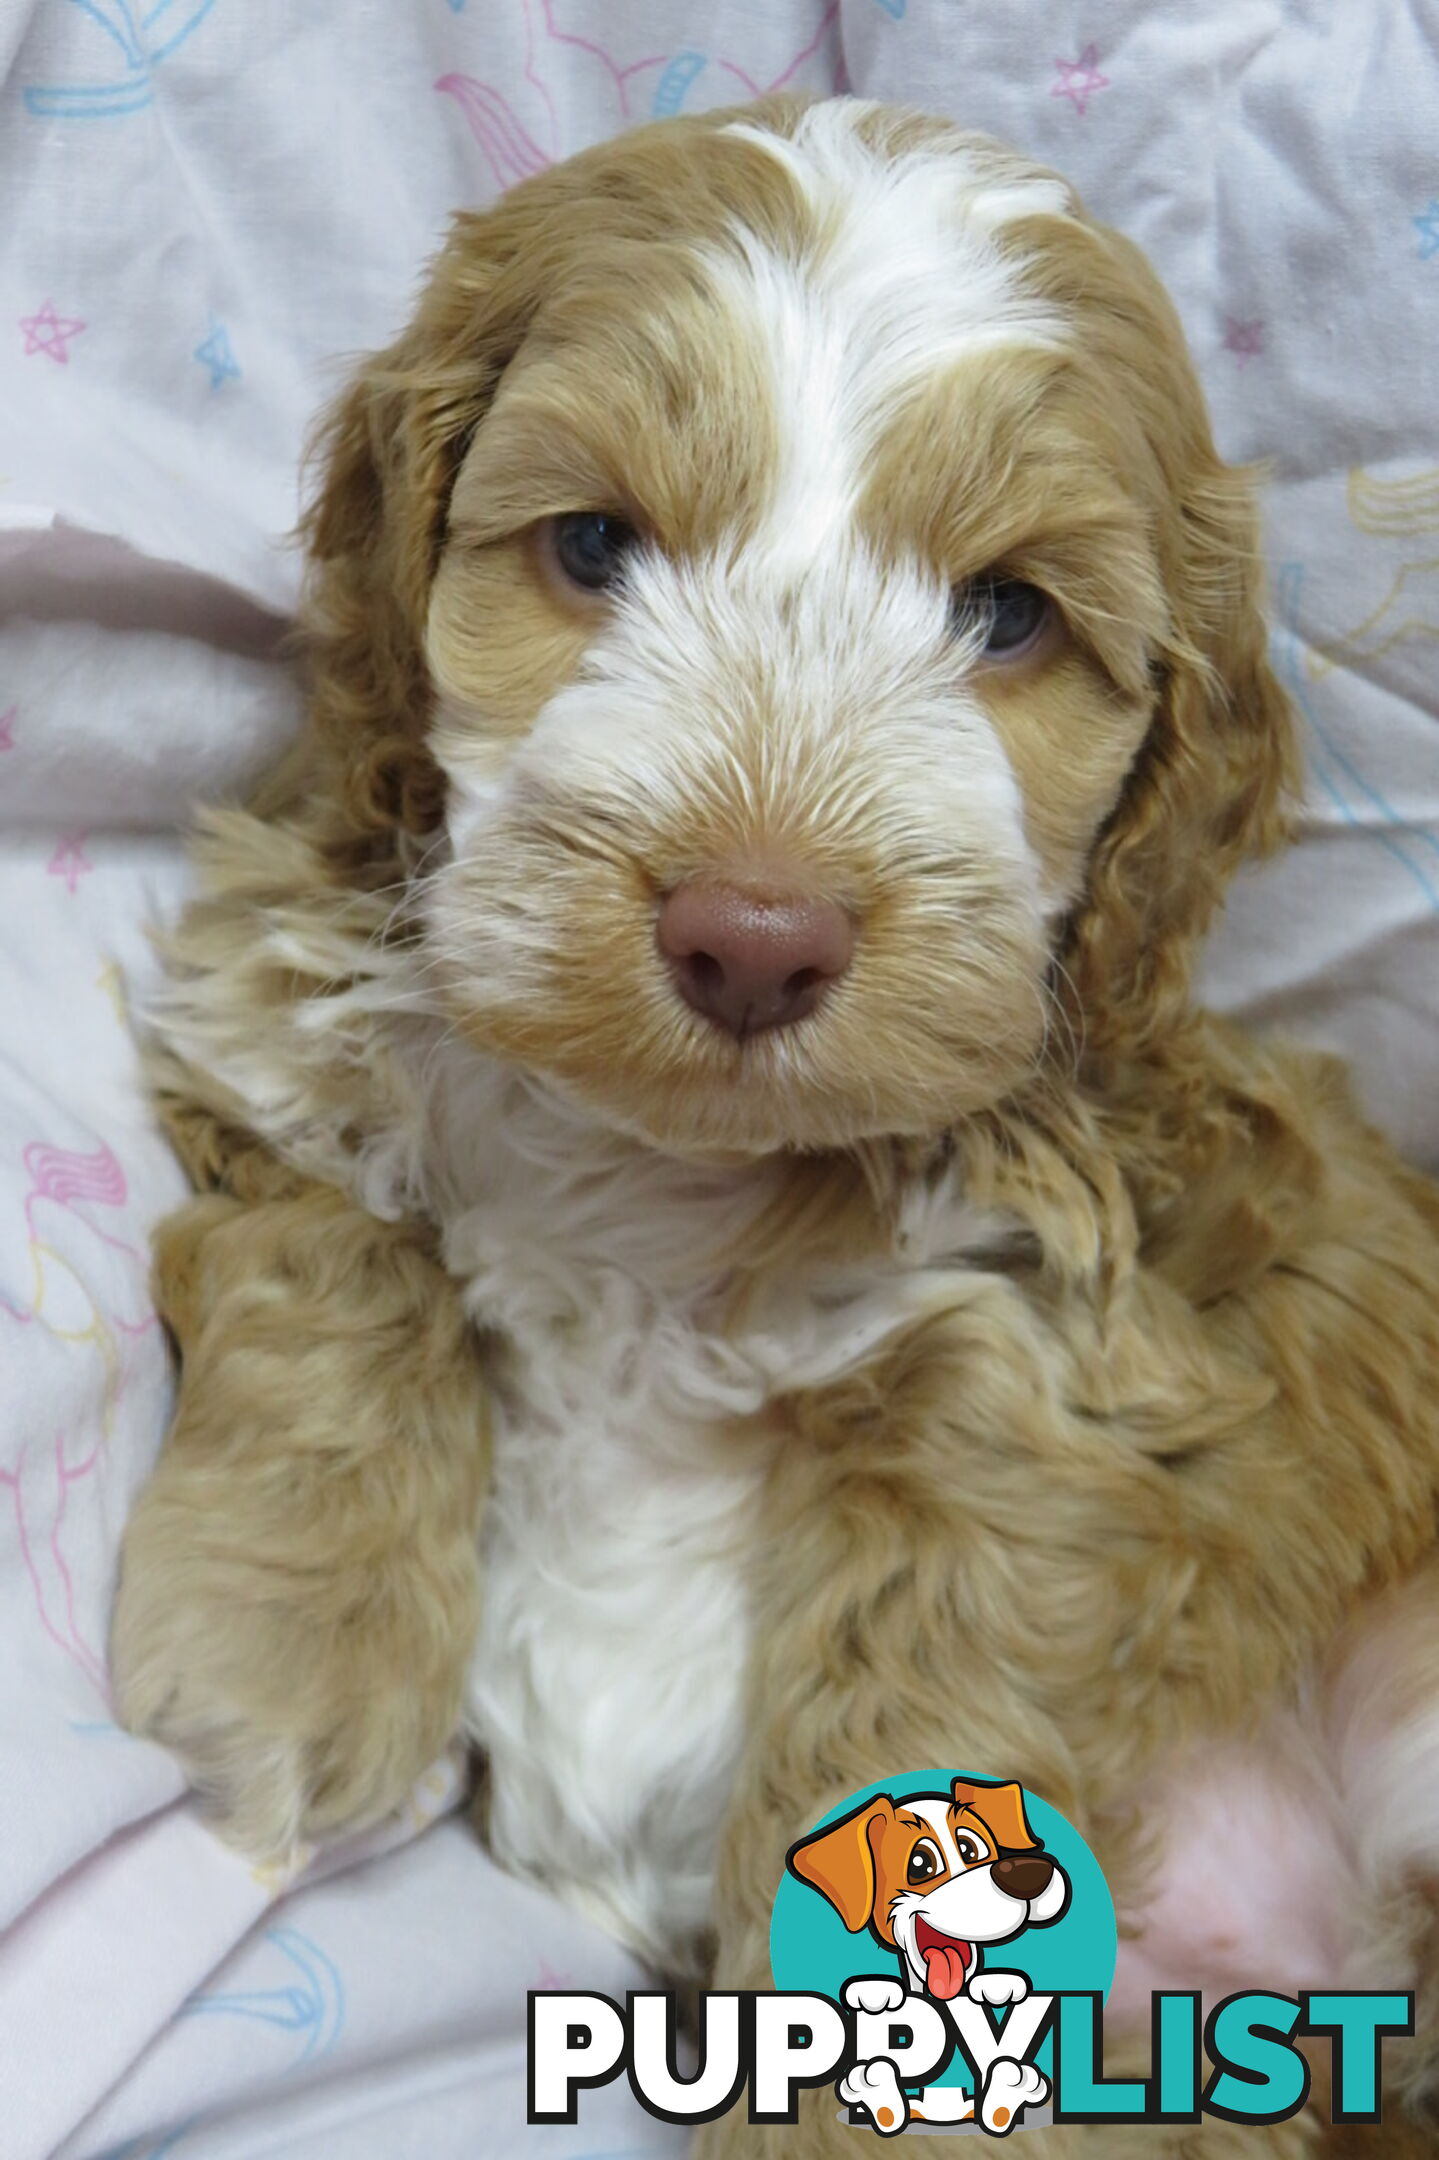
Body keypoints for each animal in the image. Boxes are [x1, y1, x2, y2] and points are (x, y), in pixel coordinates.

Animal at [109, 92, 1434, 2151]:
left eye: (1006, 614)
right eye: (589, 543)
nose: (750, 933)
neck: (659, 1165)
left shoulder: (1040, 1364)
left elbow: (910, 1715)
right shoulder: (274, 992)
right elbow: (330, 1258)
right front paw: (289, 1641)